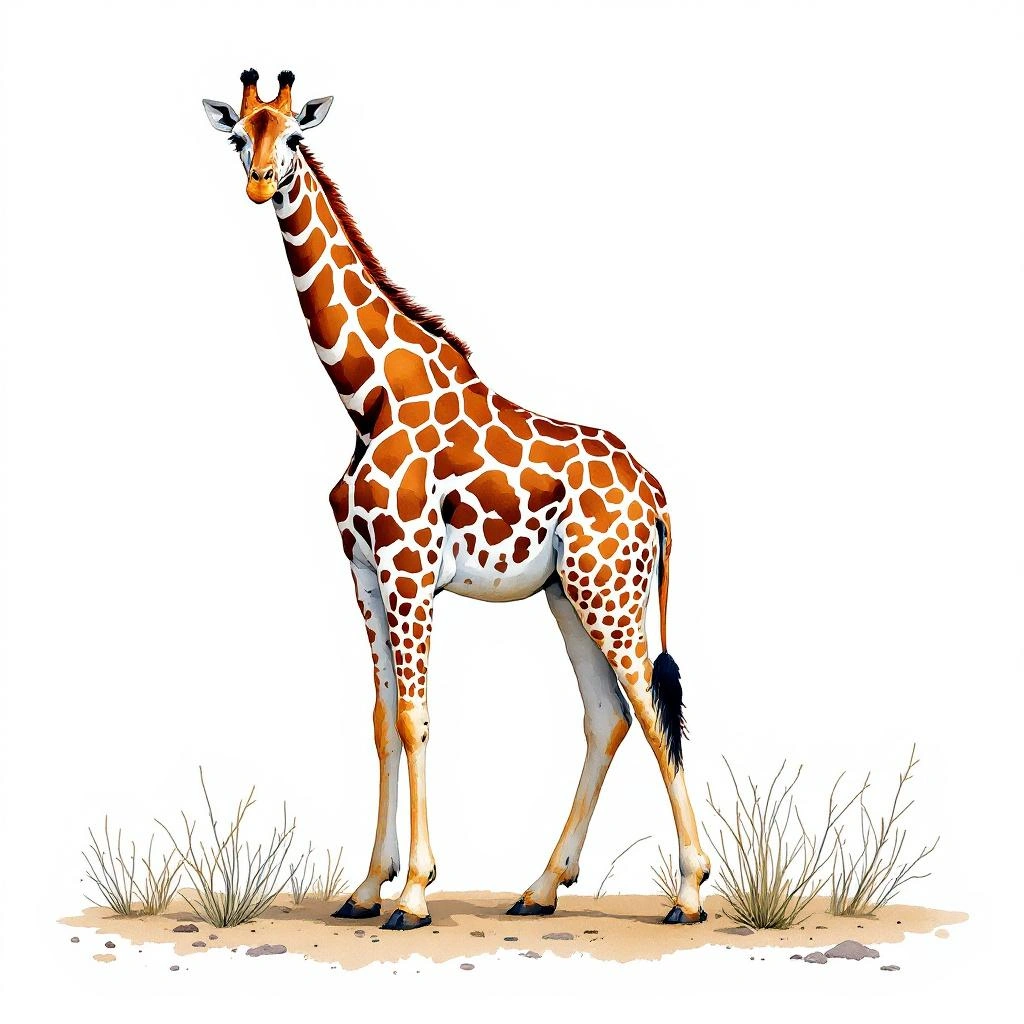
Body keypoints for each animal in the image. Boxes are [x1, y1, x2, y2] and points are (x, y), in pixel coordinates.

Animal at [203, 69, 711, 930]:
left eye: (294, 135)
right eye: (240, 135)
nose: (261, 181)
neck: (366, 397)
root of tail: (656, 494)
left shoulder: (409, 569)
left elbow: (415, 718)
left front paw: (412, 893)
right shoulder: (364, 569)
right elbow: (381, 721)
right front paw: (365, 888)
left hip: (607, 590)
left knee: (649, 704)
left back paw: (690, 891)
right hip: (567, 594)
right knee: (606, 713)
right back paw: (540, 888)